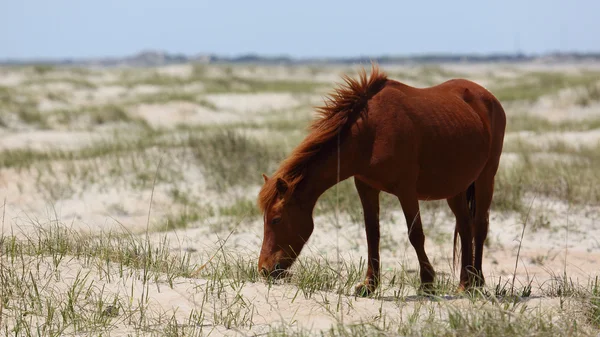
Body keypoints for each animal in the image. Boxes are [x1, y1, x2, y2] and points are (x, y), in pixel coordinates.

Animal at [258, 63, 506, 294]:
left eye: (276, 219)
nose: (263, 269)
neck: (370, 133)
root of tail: (489, 97)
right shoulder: (366, 187)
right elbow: (372, 234)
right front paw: (369, 285)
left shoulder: (406, 190)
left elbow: (416, 234)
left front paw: (427, 283)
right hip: (456, 187)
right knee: (465, 226)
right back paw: (466, 283)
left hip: (486, 178)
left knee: (479, 226)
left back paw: (476, 281)